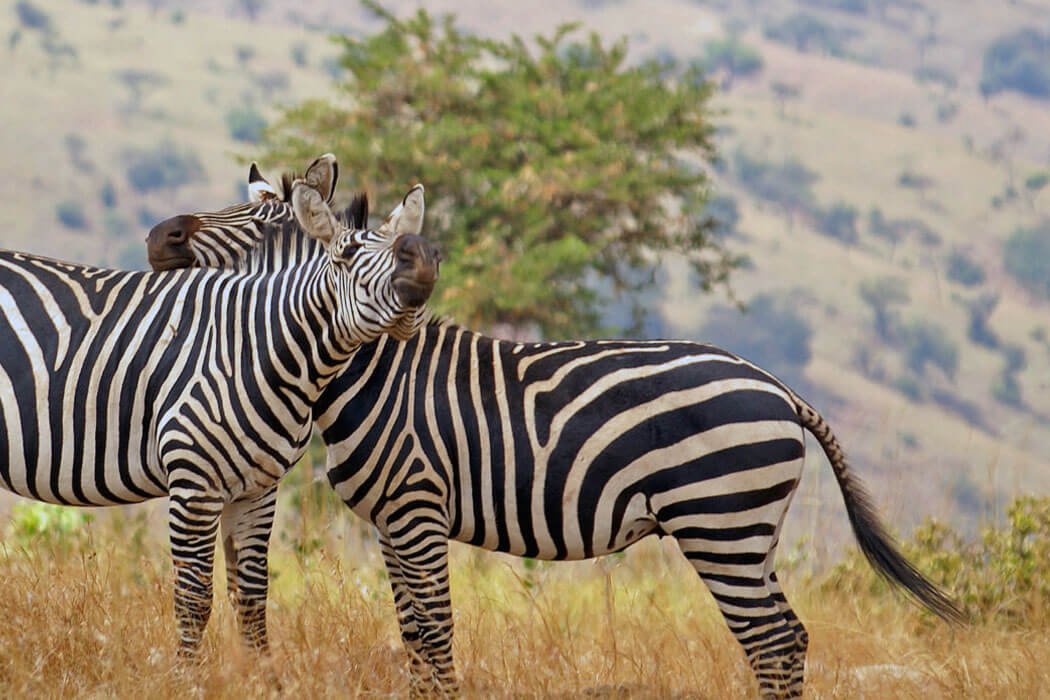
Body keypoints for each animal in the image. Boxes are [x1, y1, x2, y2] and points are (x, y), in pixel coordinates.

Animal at [0, 154, 440, 659]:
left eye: (258, 224)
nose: (158, 236)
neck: (257, 344)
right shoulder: (193, 483)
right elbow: (194, 599)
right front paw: (183, 674)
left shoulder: (258, 489)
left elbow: (251, 597)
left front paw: (261, 672)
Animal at [148, 166, 963, 698]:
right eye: (351, 254)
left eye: (257, 219)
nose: (160, 235)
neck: (369, 371)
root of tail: (778, 388)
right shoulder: (390, 520)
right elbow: (413, 632)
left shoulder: (418, 508)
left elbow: (437, 630)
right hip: (748, 531)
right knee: (787, 636)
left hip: (721, 522)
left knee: (770, 639)